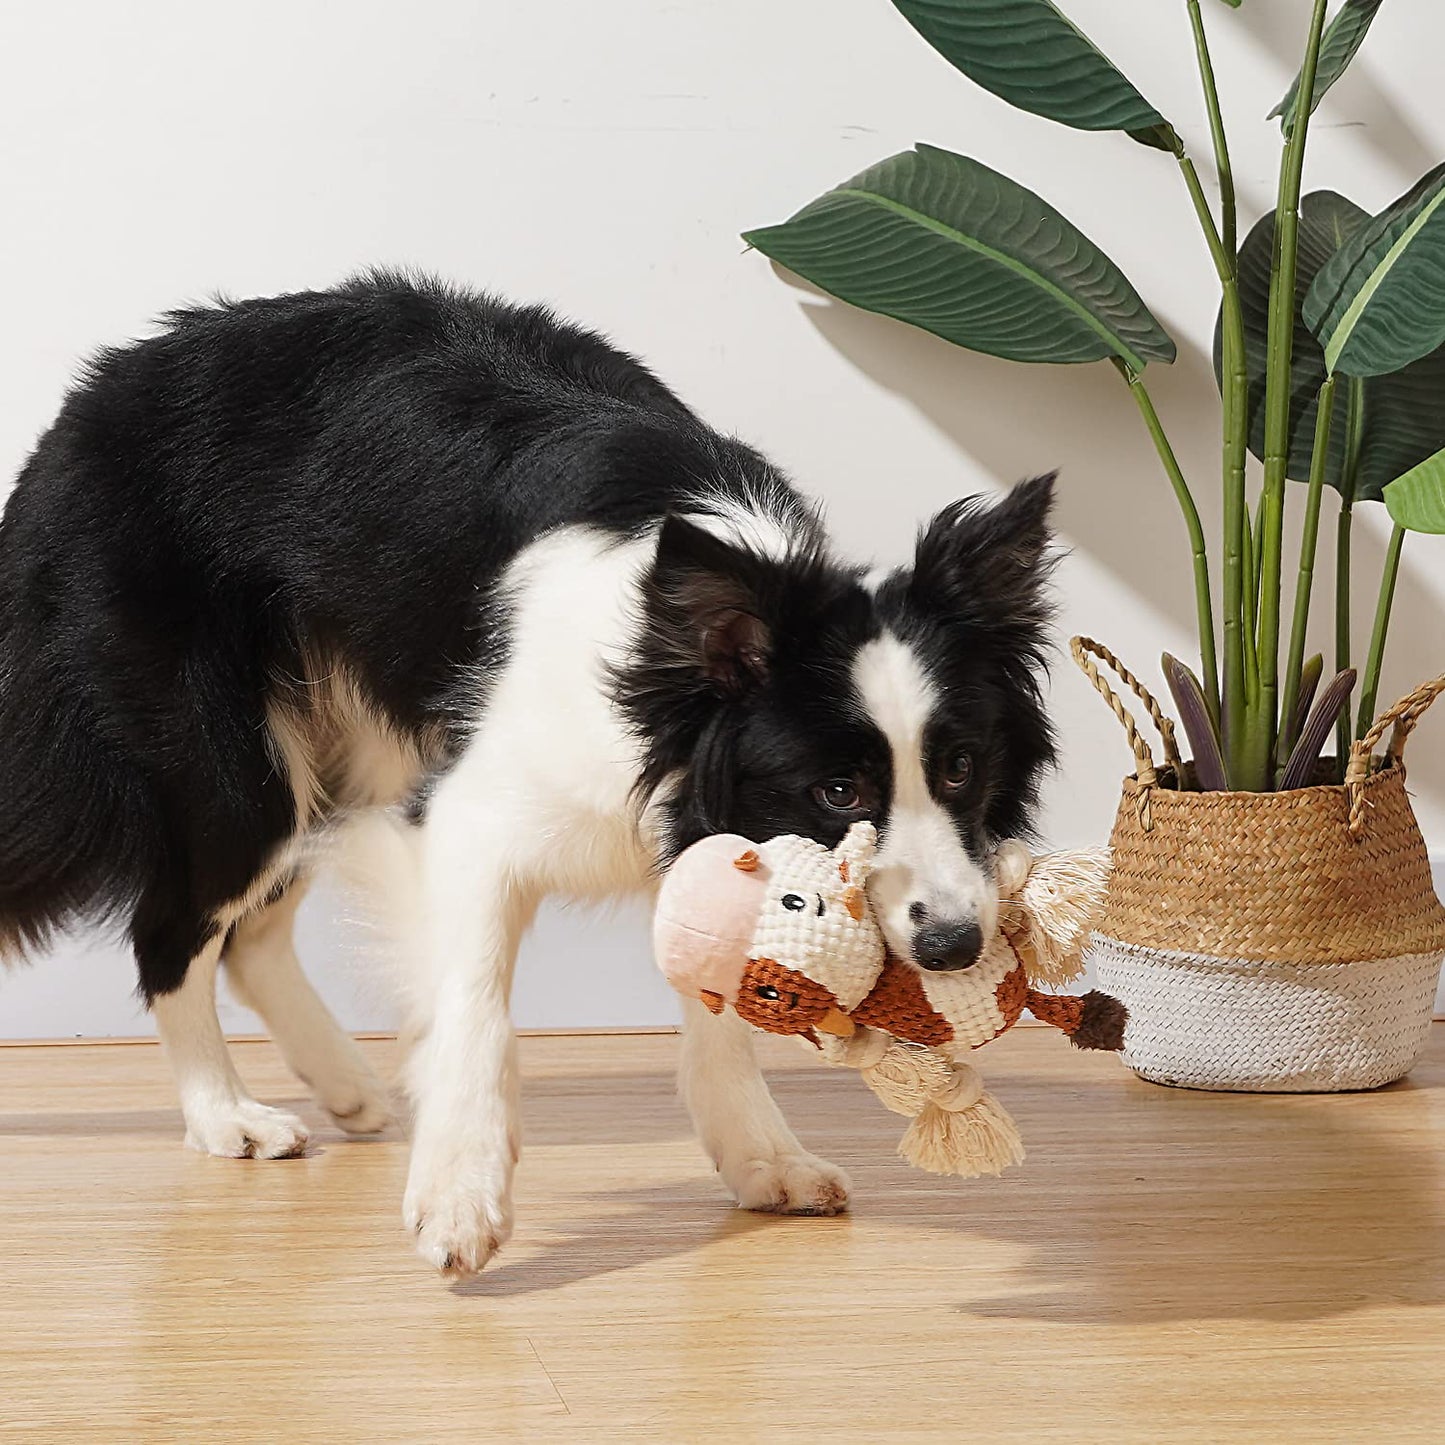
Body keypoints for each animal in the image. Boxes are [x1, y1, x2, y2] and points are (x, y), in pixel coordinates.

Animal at [0, 271, 1051, 1277]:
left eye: (962, 767)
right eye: (838, 791)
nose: (954, 945)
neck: (661, 656)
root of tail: (89, 400)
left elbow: (713, 1008)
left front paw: (762, 1157)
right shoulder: (472, 811)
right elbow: (477, 1006)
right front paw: (458, 1199)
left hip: (346, 755)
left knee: (251, 935)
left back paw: (348, 1087)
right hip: (235, 769)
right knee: (171, 932)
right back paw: (224, 1115)